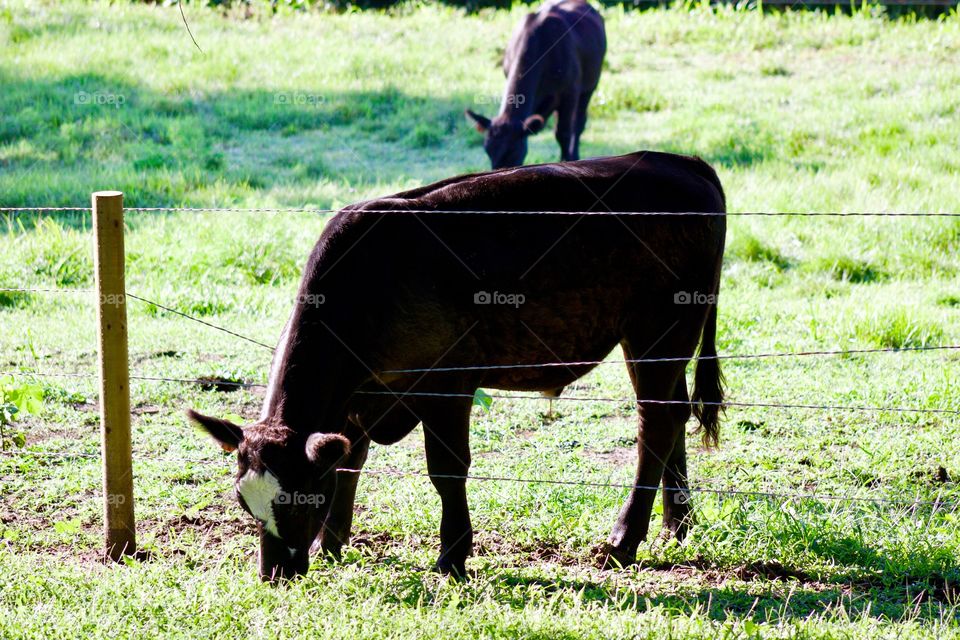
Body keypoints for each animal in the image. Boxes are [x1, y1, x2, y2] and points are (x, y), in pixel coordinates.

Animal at [189, 151, 728, 584]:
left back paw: (623, 540)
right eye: (243, 501)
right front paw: (332, 544)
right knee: (673, 415)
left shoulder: (447, 385)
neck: (367, 284)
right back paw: (676, 524)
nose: (274, 572)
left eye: (299, 496)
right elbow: (348, 460)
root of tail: (682, 161)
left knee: (654, 423)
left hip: (658, 331)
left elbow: (446, 471)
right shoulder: (359, 397)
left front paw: (452, 557)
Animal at [464, 0, 608, 169]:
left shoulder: (570, 92)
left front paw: (567, 161)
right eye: (487, 150)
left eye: (513, 151)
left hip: (590, 86)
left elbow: (563, 133)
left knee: (578, 123)